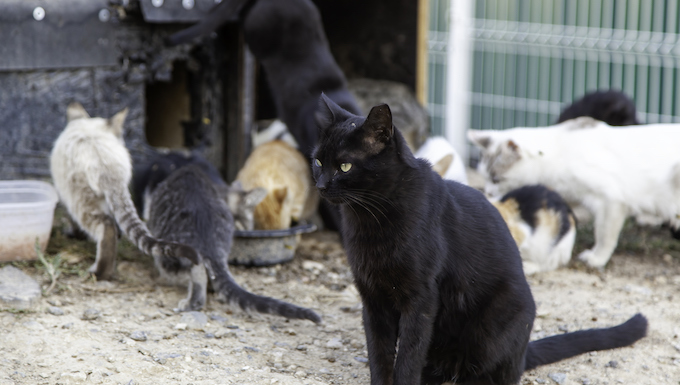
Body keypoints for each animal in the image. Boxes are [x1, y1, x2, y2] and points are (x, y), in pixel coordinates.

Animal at [49, 103, 199, 280]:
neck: (86, 126)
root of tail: (107, 165)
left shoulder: (66, 195)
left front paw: (74, 234)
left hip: (80, 200)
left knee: (106, 226)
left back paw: (99, 273)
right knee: (114, 223)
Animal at [310, 94, 644, 384]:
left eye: (344, 166)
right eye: (317, 162)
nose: (321, 186)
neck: (370, 220)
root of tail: (523, 353)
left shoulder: (420, 299)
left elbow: (407, 357)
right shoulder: (372, 299)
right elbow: (379, 355)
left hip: (496, 325)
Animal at [468, 116, 680, 268]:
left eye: (496, 179)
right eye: (484, 176)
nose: (488, 192)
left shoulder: (610, 200)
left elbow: (605, 234)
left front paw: (597, 258)